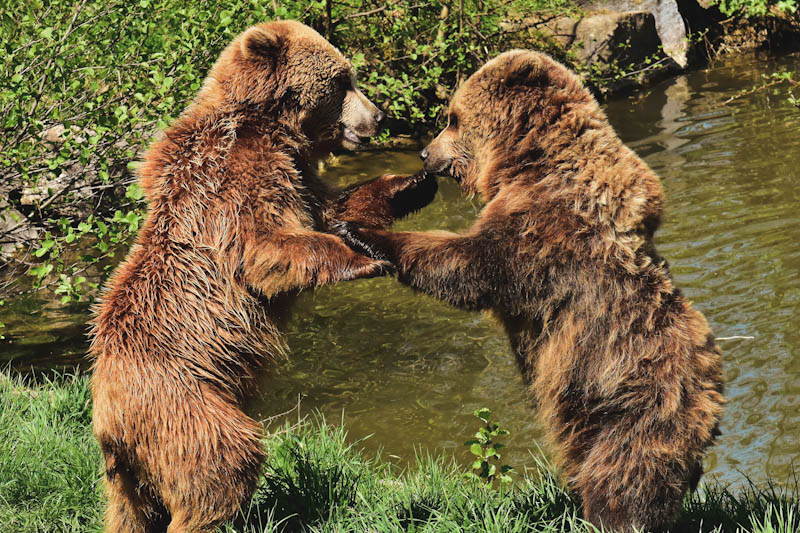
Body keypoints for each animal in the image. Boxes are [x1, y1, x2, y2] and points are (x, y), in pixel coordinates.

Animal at [89, 20, 435, 533]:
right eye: (342, 80)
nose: (378, 115)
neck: (272, 126)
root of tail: (108, 420)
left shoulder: (298, 174)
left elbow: (333, 206)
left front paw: (412, 184)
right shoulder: (236, 179)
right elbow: (266, 248)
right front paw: (366, 256)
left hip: (128, 471)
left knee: (129, 512)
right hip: (185, 406)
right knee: (222, 465)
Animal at [347, 50, 725, 532]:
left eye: (452, 118)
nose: (425, 152)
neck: (527, 160)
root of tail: (711, 398)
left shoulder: (543, 228)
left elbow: (470, 266)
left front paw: (362, 232)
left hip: (631, 402)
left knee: (623, 475)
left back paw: (610, 517)